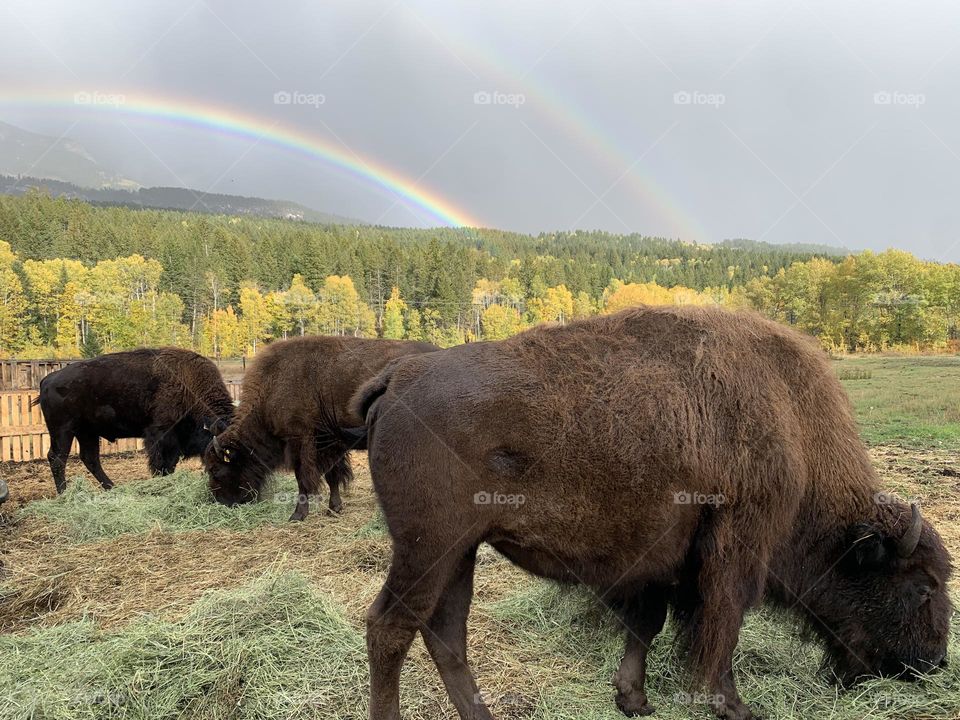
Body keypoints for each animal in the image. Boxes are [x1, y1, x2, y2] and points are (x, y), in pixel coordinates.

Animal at [35, 350, 236, 496]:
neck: (189, 386)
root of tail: (48, 380)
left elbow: (170, 464)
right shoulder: (160, 435)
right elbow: (162, 464)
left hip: (87, 433)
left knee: (90, 459)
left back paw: (112, 487)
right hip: (63, 430)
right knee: (57, 458)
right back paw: (64, 494)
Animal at [208, 334, 436, 520]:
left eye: (215, 470)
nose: (220, 502)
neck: (274, 384)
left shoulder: (300, 441)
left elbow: (303, 478)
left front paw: (298, 515)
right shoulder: (329, 444)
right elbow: (332, 476)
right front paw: (334, 508)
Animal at [352, 306, 952, 720]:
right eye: (920, 586)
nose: (935, 662)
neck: (793, 430)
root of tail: (400, 375)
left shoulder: (662, 562)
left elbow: (647, 624)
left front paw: (633, 699)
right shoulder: (734, 553)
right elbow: (721, 626)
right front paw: (732, 705)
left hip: (460, 552)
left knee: (444, 632)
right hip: (428, 548)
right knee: (390, 627)